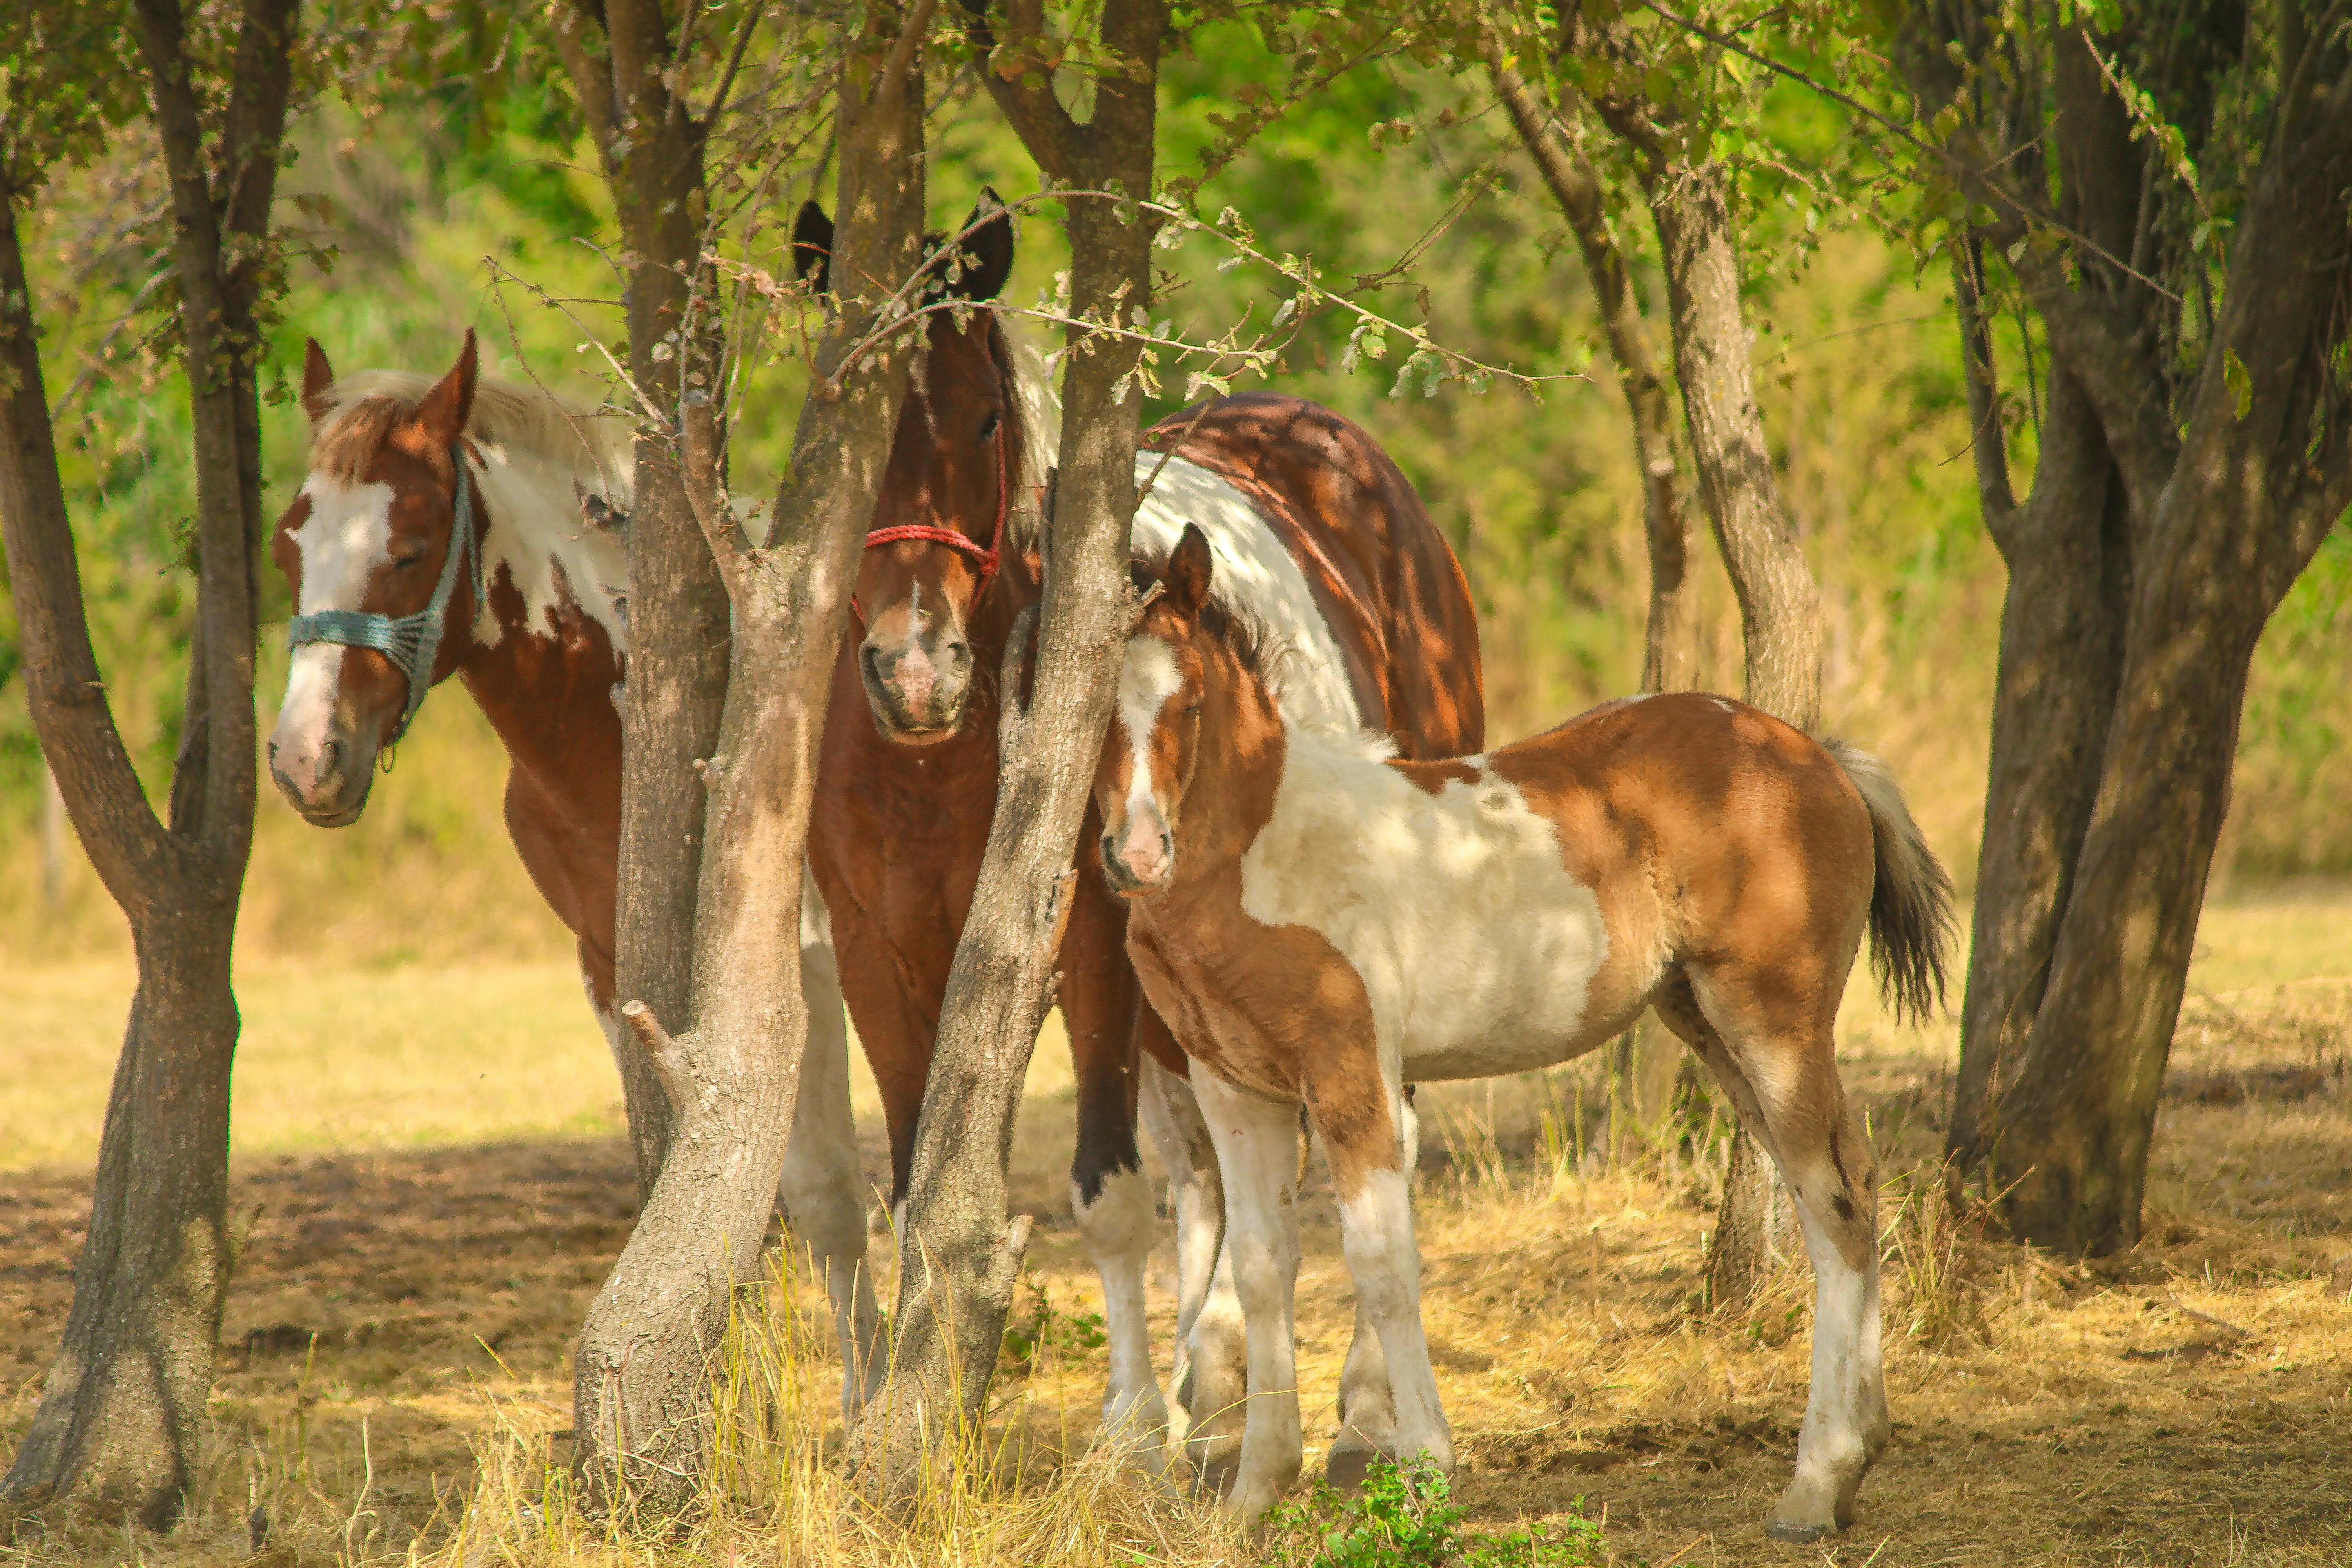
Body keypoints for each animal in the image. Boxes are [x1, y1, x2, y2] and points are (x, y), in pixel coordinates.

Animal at [261, 332, 884, 1414]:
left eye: (409, 550)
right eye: (289, 547)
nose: (306, 760)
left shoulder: (800, 957)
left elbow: (825, 1187)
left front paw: (875, 1409)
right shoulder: (609, 961)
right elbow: (697, 1184)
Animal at [790, 195, 1485, 1481]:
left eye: (981, 414)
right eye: (845, 433)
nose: (914, 670)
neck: (937, 763)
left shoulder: (1090, 953)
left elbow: (1104, 1191)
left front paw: (1124, 1426)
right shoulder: (876, 958)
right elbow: (918, 1200)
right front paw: (918, 1413)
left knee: (1383, 1139)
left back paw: (1361, 1411)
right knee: (1206, 1165)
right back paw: (1212, 1381)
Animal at [1093, 523, 1955, 1538]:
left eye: (1187, 701)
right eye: (1091, 712)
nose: (1136, 856)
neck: (1261, 852)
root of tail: (1816, 753)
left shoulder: (1350, 1073)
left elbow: (1381, 1265)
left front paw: (1425, 1472)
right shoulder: (1235, 1086)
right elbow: (1265, 1269)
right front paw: (1256, 1491)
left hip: (1774, 1021)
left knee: (1834, 1209)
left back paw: (1818, 1481)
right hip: (1709, 1025)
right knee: (1855, 1177)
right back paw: (1862, 1450)